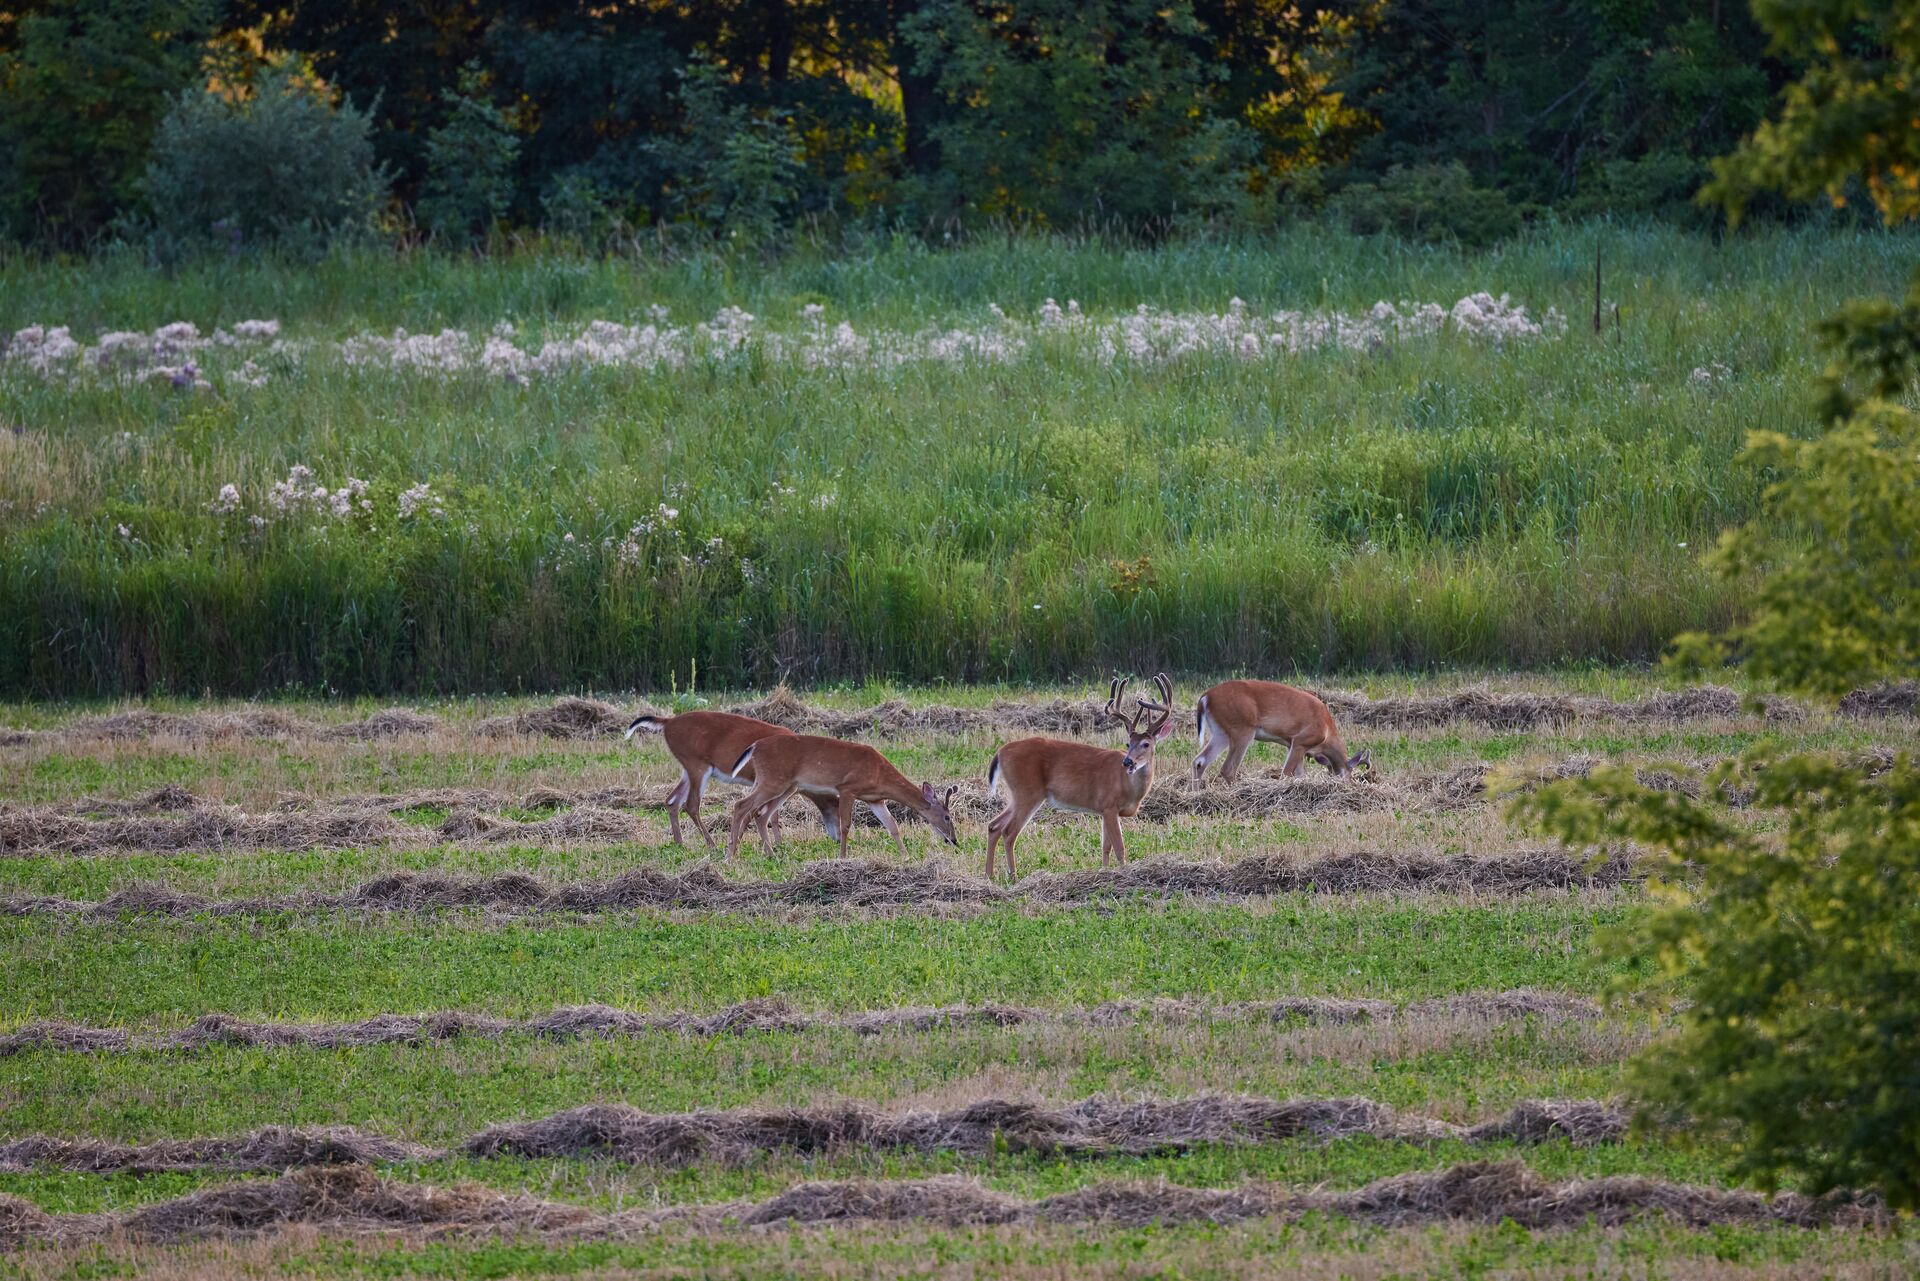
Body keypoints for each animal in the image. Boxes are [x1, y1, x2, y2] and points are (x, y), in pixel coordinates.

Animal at [624, 711, 839, 850]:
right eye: (838, 810)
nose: (837, 839)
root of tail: (668, 722)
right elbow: (756, 811)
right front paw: (742, 842)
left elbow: (771, 814)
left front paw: (777, 844)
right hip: (697, 765)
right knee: (690, 804)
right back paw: (711, 844)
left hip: (687, 768)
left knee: (672, 800)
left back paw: (680, 843)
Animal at [724, 733, 960, 861]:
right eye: (948, 817)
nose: (954, 840)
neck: (879, 773)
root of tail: (755, 747)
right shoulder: (847, 788)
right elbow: (845, 825)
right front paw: (843, 856)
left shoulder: (875, 799)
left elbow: (892, 825)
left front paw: (905, 855)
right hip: (773, 780)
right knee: (741, 805)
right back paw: (730, 855)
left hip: (786, 786)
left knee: (761, 814)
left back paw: (769, 854)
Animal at [983, 674, 1174, 882]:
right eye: (1128, 743)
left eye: (1146, 744)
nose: (1128, 762)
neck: (1129, 788)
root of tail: (1000, 752)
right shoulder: (1110, 805)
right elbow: (1119, 847)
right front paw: (1125, 874)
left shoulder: (1104, 810)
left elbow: (1105, 847)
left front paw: (1105, 873)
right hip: (1027, 792)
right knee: (1009, 832)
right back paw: (1013, 877)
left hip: (1017, 794)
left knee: (994, 826)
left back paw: (989, 875)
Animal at [1190, 680, 1370, 783]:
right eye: (1350, 774)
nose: (1349, 785)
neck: (1327, 731)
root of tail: (1205, 697)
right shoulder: (1301, 740)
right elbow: (1287, 773)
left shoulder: (1293, 745)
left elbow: (1299, 775)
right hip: (1242, 729)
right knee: (1228, 769)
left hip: (1221, 732)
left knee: (1199, 761)